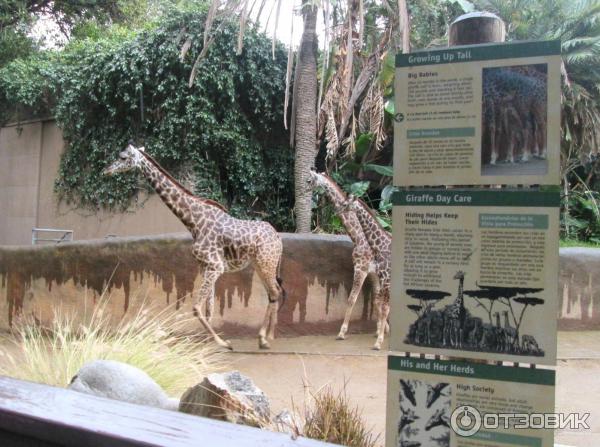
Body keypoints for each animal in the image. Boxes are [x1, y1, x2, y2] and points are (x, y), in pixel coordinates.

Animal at [103, 144, 286, 350]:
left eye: (123, 157)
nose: (106, 170)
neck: (193, 222)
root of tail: (278, 237)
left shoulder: (215, 266)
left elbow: (197, 307)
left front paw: (221, 343)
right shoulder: (206, 266)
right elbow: (208, 308)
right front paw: (210, 346)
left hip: (266, 263)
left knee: (274, 292)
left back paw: (264, 338)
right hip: (260, 265)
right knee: (274, 292)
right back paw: (268, 336)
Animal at [308, 173, 378, 342]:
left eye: (310, 180)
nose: (302, 190)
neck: (358, 239)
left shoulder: (361, 269)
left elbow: (352, 299)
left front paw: (341, 332)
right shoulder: (372, 273)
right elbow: (376, 299)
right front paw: (381, 330)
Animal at [340, 196, 392, 350]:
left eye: (345, 204)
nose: (338, 211)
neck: (381, 246)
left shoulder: (386, 280)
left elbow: (385, 307)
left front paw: (378, 342)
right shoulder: (383, 279)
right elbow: (381, 304)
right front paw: (380, 335)